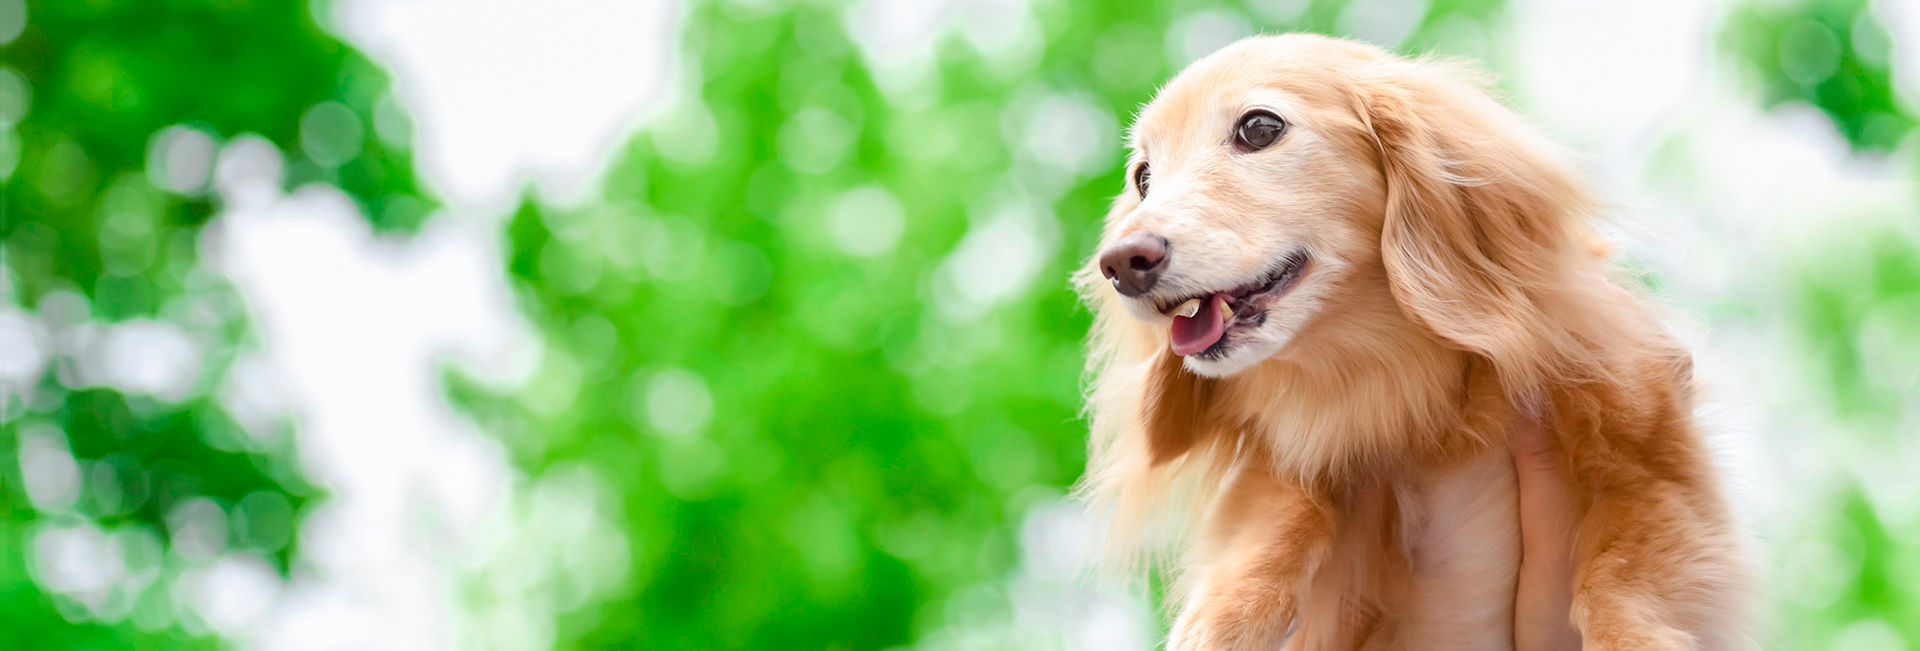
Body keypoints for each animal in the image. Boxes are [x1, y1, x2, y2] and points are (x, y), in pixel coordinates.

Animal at [1082, 35, 1758, 651]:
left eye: (1259, 127)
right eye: (1144, 176)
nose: (1120, 263)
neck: (1400, 372)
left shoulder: (1652, 457)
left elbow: (1617, 586)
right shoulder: (1301, 451)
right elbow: (1279, 518)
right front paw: (1219, 621)